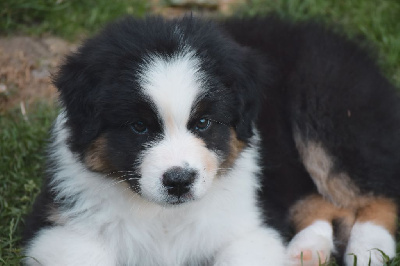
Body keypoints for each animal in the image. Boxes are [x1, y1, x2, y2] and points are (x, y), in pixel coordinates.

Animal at [23, 15, 398, 264]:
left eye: (203, 123)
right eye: (139, 127)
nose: (178, 182)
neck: (165, 216)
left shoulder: (250, 226)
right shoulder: (62, 224)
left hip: (328, 106)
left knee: (378, 192)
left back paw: (367, 252)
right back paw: (307, 250)